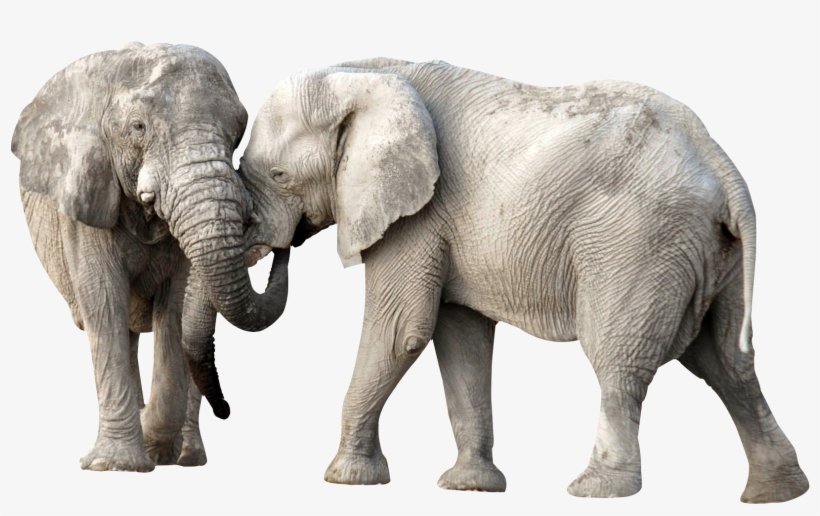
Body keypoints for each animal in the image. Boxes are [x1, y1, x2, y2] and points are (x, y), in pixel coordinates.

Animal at [11, 43, 288, 472]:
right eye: (138, 127)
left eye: (237, 132)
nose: (226, 410)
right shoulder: (87, 192)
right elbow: (103, 300)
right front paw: (115, 465)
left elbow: (175, 310)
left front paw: (150, 446)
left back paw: (187, 457)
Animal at [217, 57, 809, 502]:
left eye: (280, 176)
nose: (281, 248)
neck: (364, 75)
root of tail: (721, 163)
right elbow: (460, 339)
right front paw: (471, 488)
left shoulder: (417, 214)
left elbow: (401, 330)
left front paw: (346, 479)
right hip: (710, 252)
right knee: (726, 362)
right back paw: (776, 494)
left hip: (638, 241)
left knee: (619, 358)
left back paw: (595, 490)